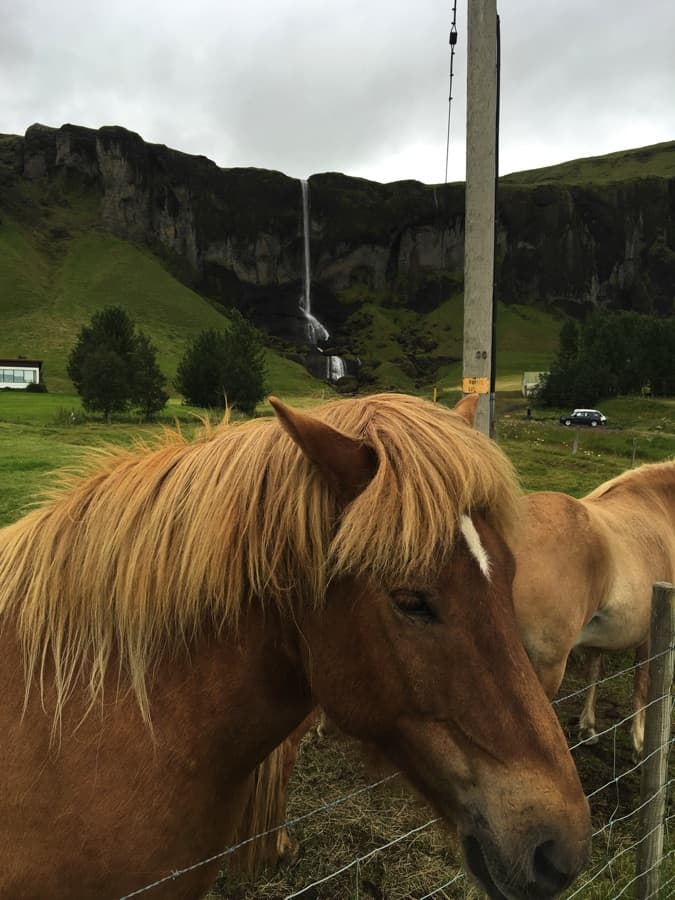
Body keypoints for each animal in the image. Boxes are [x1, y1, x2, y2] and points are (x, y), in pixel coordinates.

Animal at [512, 460, 675, 756]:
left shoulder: (599, 638)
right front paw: (640, 740)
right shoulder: (650, 635)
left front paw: (588, 728)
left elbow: (594, 673)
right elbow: (642, 681)